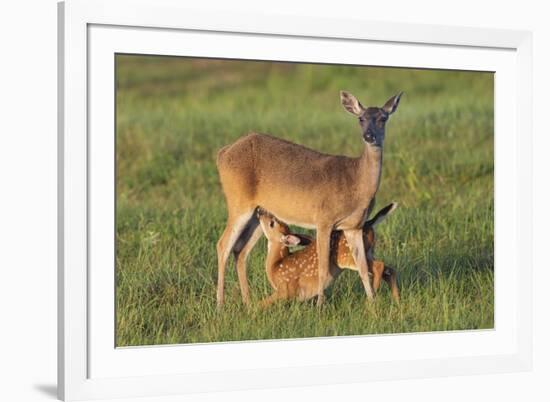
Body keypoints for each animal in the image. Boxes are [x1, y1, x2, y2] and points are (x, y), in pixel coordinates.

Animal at [215, 90, 402, 304]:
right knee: (223, 245)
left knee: (240, 250)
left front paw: (372, 303)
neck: (356, 182)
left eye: (383, 118)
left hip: (258, 213)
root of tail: (221, 154)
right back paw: (220, 304)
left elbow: (362, 267)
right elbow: (322, 267)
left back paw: (247, 302)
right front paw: (320, 305)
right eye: (360, 118)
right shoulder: (324, 219)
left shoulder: (354, 226)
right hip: (238, 202)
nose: (369, 136)